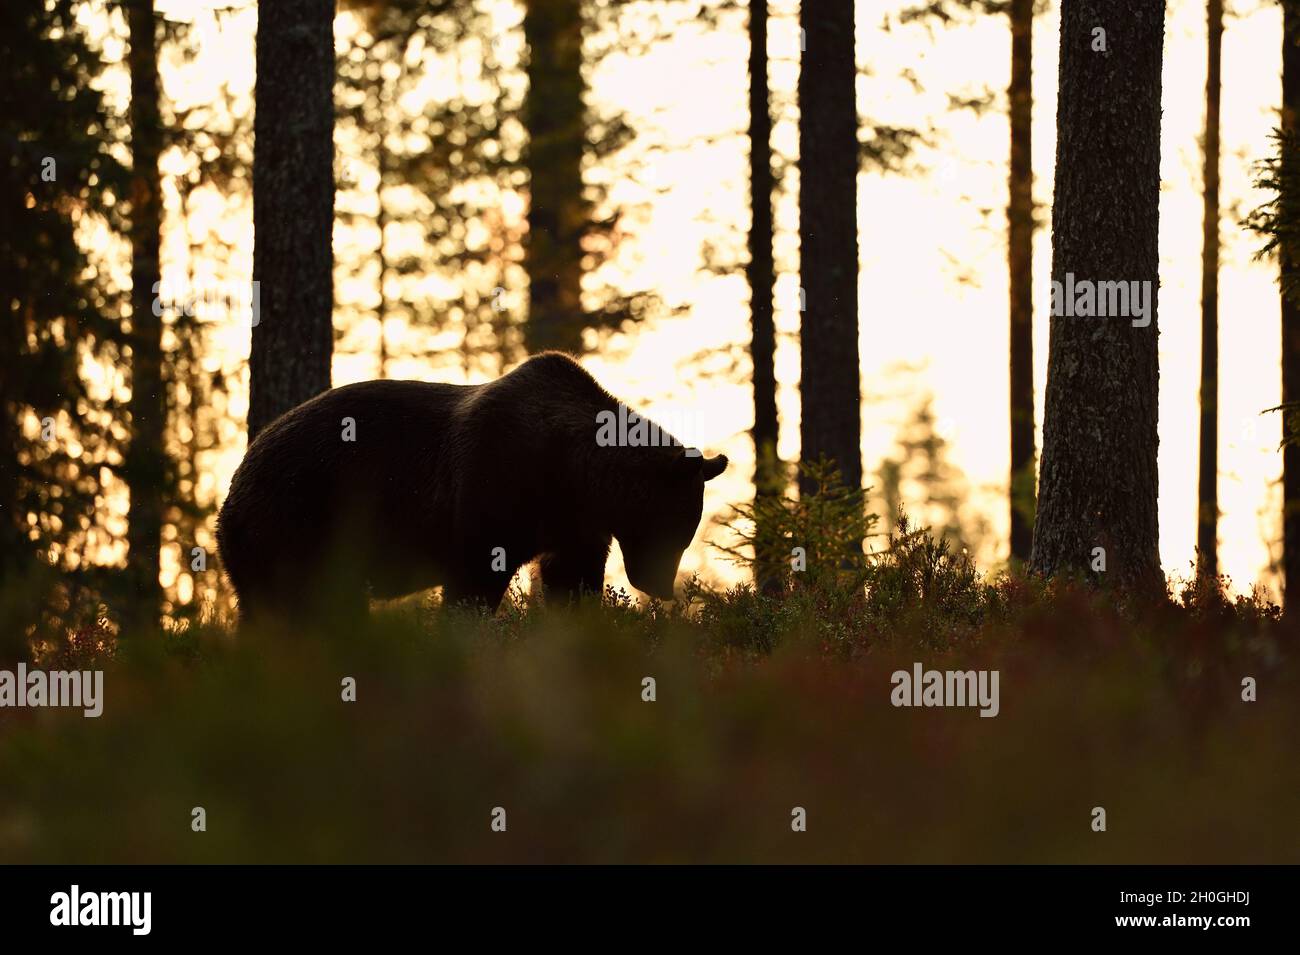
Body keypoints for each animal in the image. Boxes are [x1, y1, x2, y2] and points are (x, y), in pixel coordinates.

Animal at [216, 351, 728, 623]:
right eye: (675, 529)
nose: (659, 586)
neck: (576, 477)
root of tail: (240, 469)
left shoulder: (572, 525)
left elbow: (573, 578)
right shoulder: (493, 484)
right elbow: (475, 577)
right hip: (296, 518)